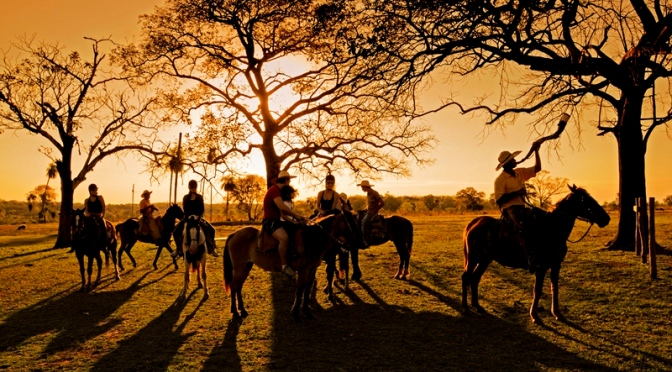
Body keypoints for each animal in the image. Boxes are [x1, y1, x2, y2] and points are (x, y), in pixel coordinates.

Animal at [223, 212, 360, 322]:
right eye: (350, 223)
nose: (359, 242)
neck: (312, 239)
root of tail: (234, 234)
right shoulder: (303, 270)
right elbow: (299, 290)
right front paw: (296, 314)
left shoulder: (312, 270)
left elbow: (307, 289)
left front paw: (307, 312)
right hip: (240, 267)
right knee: (234, 286)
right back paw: (235, 312)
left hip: (246, 266)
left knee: (238, 286)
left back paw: (242, 310)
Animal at [462, 186, 608, 322]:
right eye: (584, 200)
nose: (606, 218)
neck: (553, 229)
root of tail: (473, 223)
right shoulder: (541, 266)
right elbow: (537, 290)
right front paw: (535, 315)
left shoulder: (556, 265)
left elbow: (555, 288)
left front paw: (557, 313)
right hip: (473, 257)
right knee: (466, 277)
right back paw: (465, 308)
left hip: (485, 259)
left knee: (475, 278)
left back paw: (477, 305)